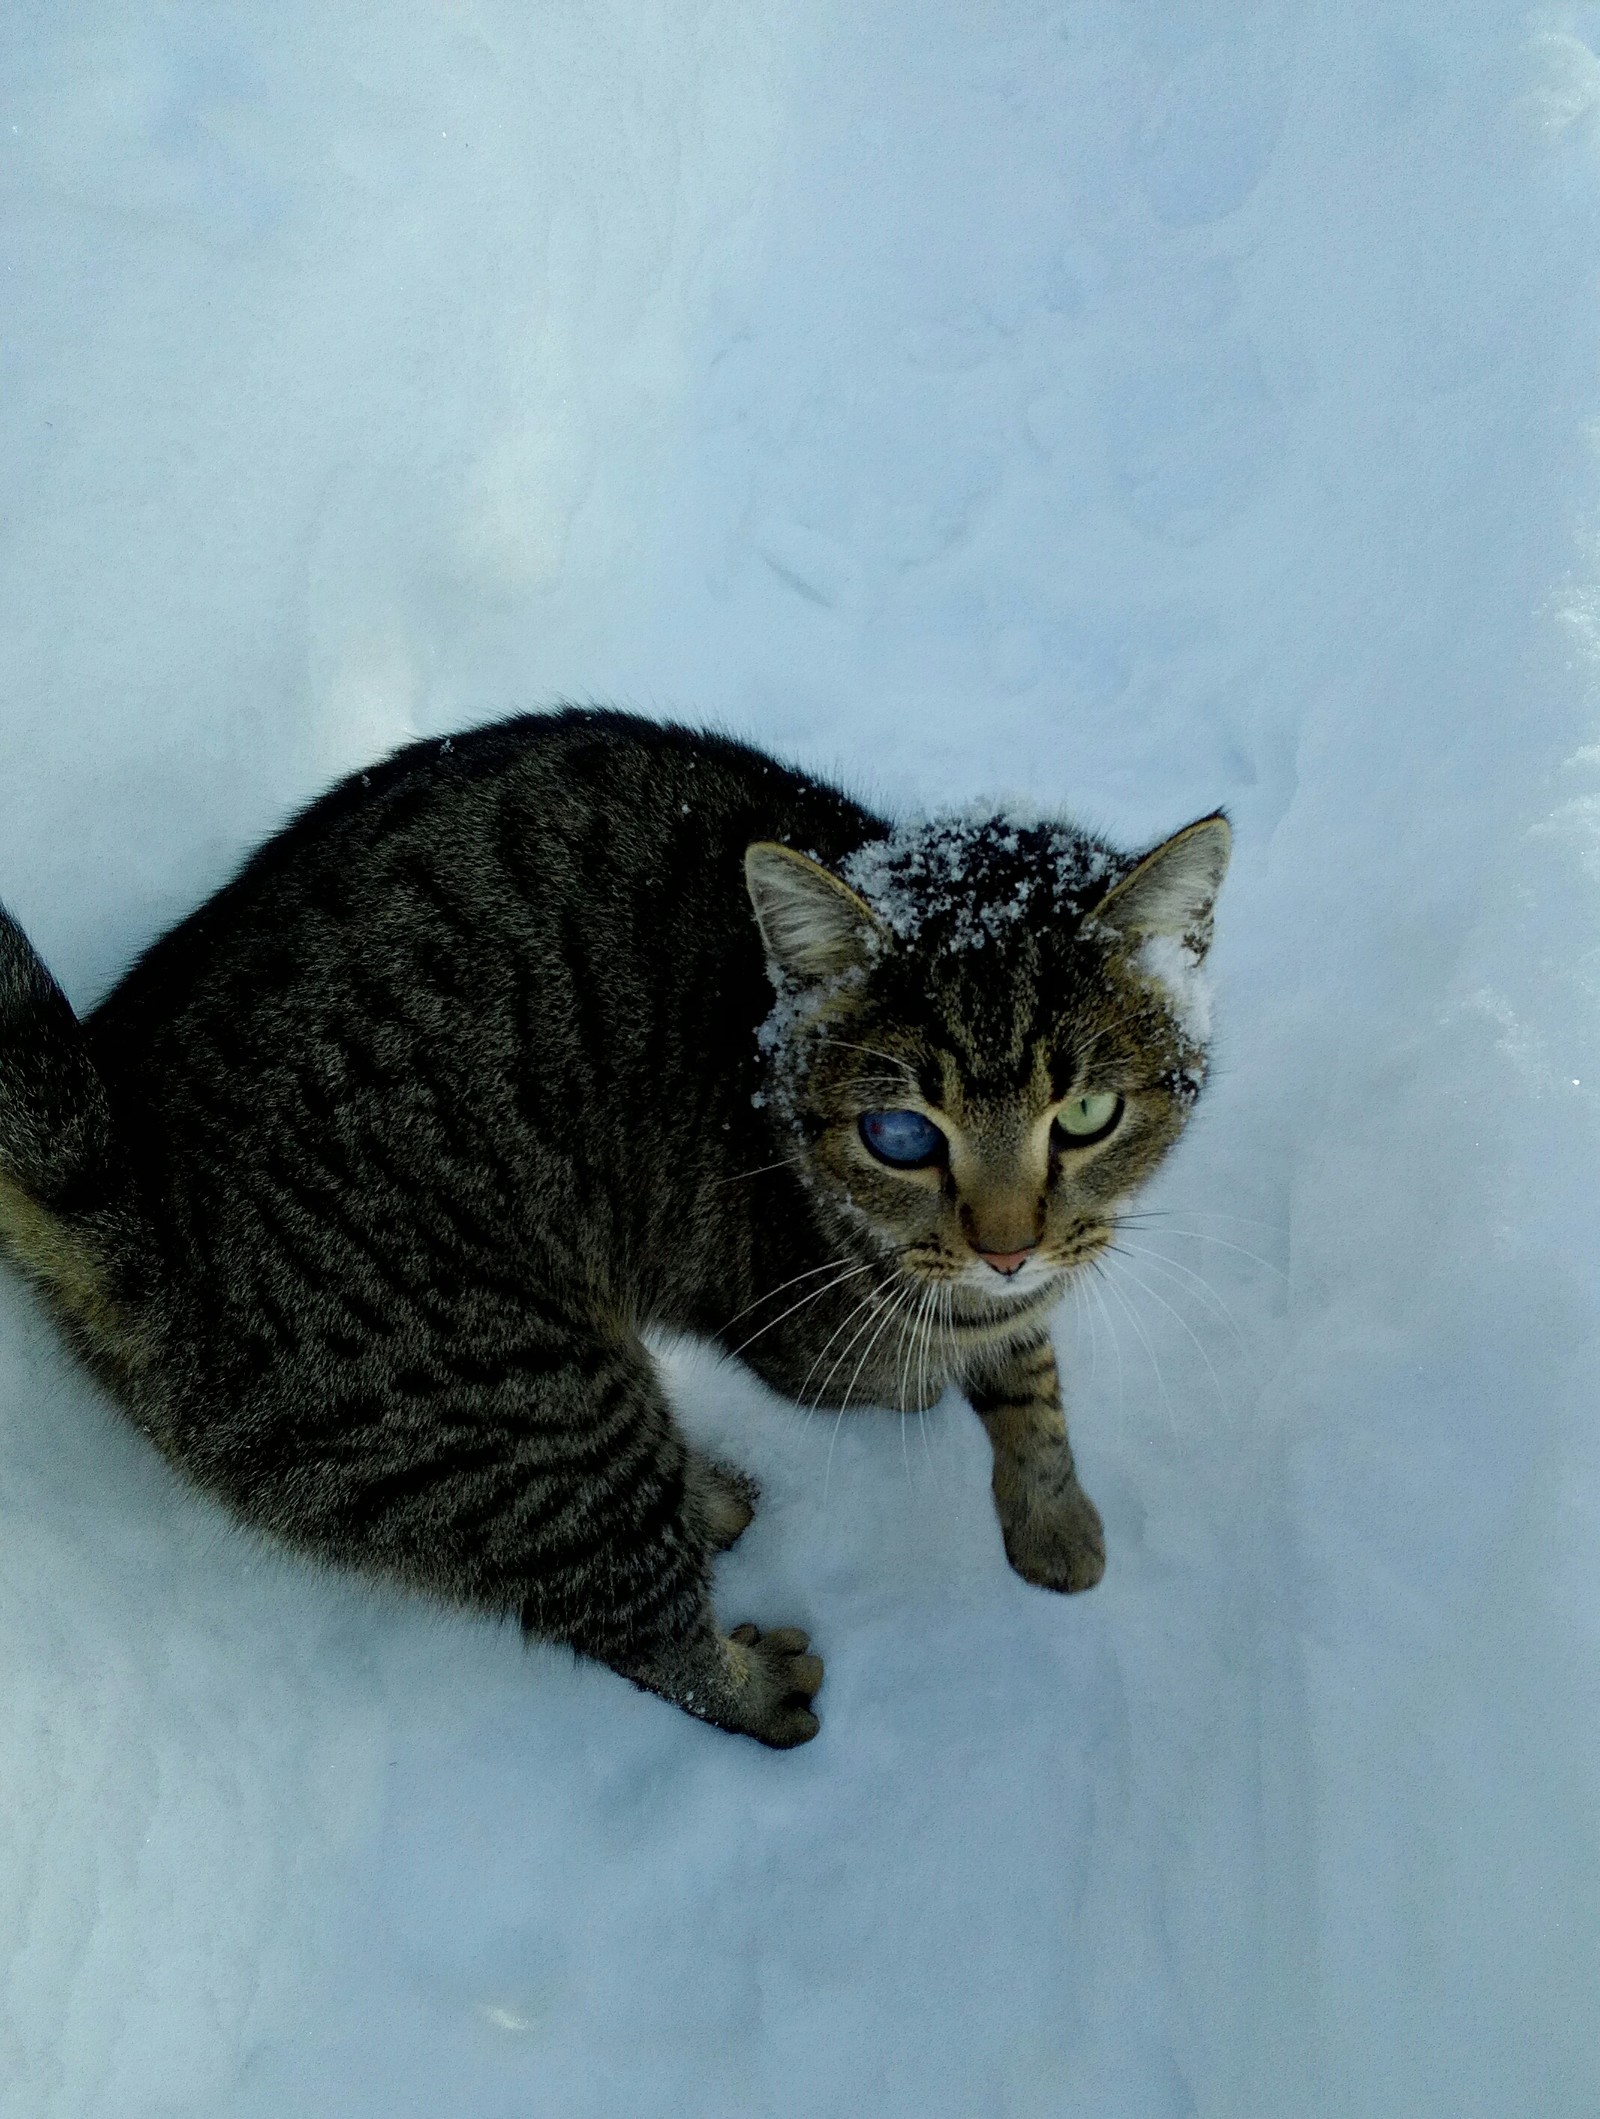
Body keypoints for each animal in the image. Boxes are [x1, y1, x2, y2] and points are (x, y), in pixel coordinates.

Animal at [0, 703, 1229, 1746]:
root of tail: (136, 1199)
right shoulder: (813, 1329)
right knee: (642, 1630)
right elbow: (965, 1355)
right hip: (531, 1401)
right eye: (899, 1134)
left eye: (1086, 1113)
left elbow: (1031, 1366)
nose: (1006, 1243)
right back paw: (756, 1676)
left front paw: (1053, 1512)